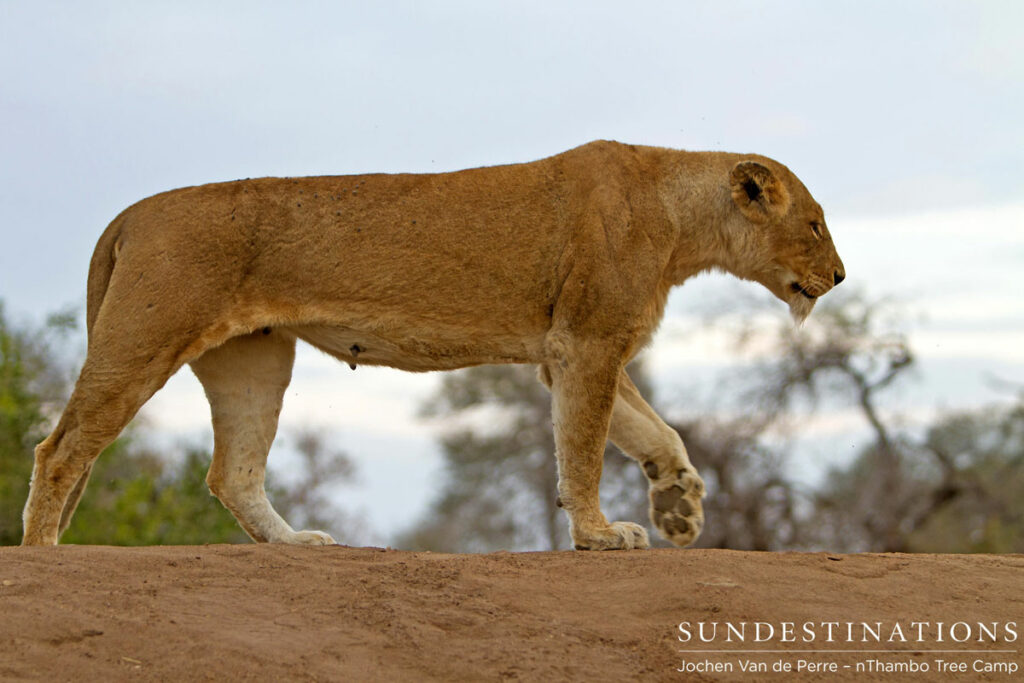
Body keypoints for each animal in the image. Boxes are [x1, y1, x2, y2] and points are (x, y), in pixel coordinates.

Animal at [22, 140, 844, 550]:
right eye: (813, 223)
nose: (838, 275)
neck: (681, 218)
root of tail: (131, 213)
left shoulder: (574, 351)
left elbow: (654, 430)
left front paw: (678, 508)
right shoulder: (584, 341)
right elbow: (583, 449)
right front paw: (600, 534)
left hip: (255, 359)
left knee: (232, 472)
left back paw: (294, 543)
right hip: (146, 335)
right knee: (61, 448)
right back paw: (42, 553)